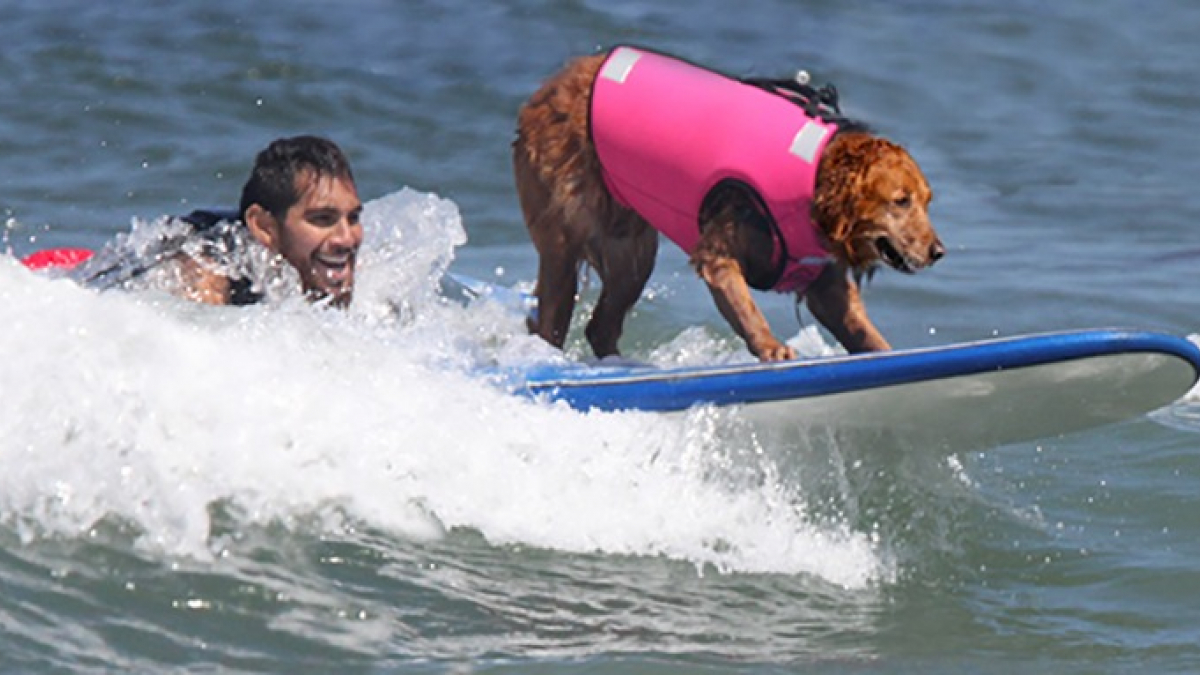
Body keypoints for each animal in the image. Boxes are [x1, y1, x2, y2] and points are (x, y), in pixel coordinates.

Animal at [511, 45, 940, 362]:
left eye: (927, 202)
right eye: (901, 201)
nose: (938, 251)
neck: (814, 181)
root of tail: (548, 89)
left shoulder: (827, 284)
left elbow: (863, 331)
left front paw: (886, 352)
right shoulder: (720, 253)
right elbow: (747, 309)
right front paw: (772, 348)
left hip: (630, 250)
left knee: (601, 325)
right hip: (568, 233)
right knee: (553, 317)